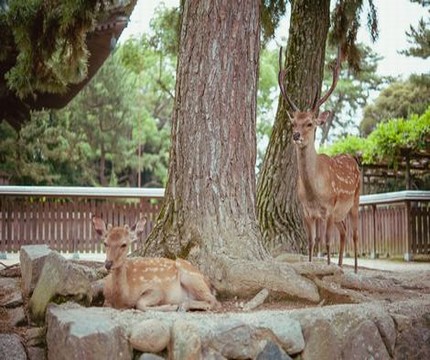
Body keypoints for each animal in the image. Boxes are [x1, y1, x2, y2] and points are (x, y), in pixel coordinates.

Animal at [278, 47, 362, 272]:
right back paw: (341, 266)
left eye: (309, 123)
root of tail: (353, 159)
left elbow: (325, 242)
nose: (295, 135)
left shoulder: (330, 208)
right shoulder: (307, 211)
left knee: (354, 234)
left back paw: (355, 270)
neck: (314, 192)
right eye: (293, 123)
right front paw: (312, 266)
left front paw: (328, 268)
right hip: (341, 213)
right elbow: (311, 241)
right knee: (343, 231)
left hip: (355, 200)